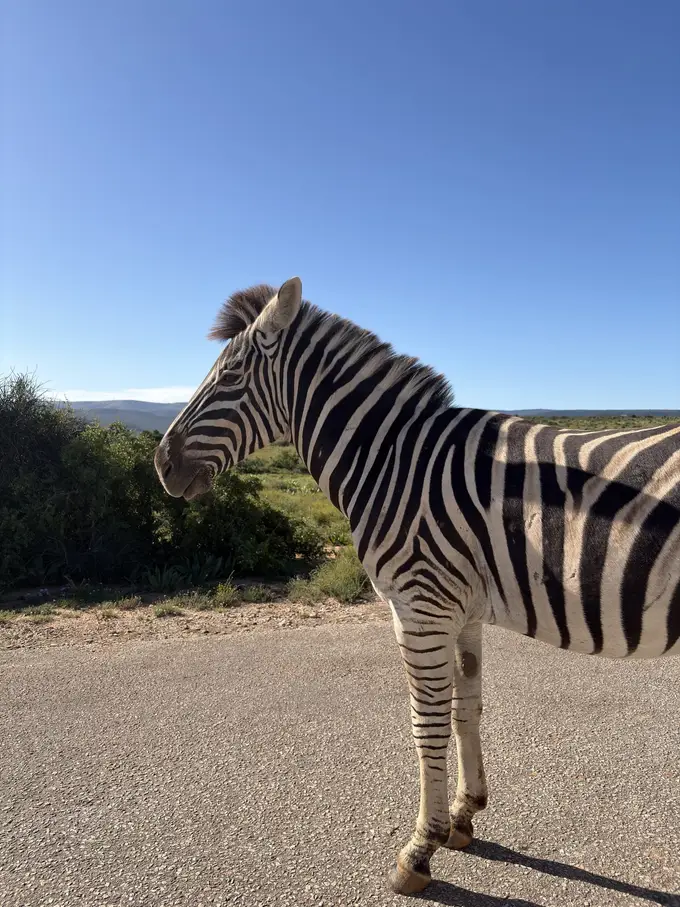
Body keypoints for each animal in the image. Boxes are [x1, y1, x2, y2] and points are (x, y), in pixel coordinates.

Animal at [154, 277, 680, 895]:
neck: (393, 463)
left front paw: (419, 851)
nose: (161, 465)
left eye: (231, 377)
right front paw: (464, 815)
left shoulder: (420, 605)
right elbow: (466, 710)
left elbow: (425, 726)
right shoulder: (463, 610)